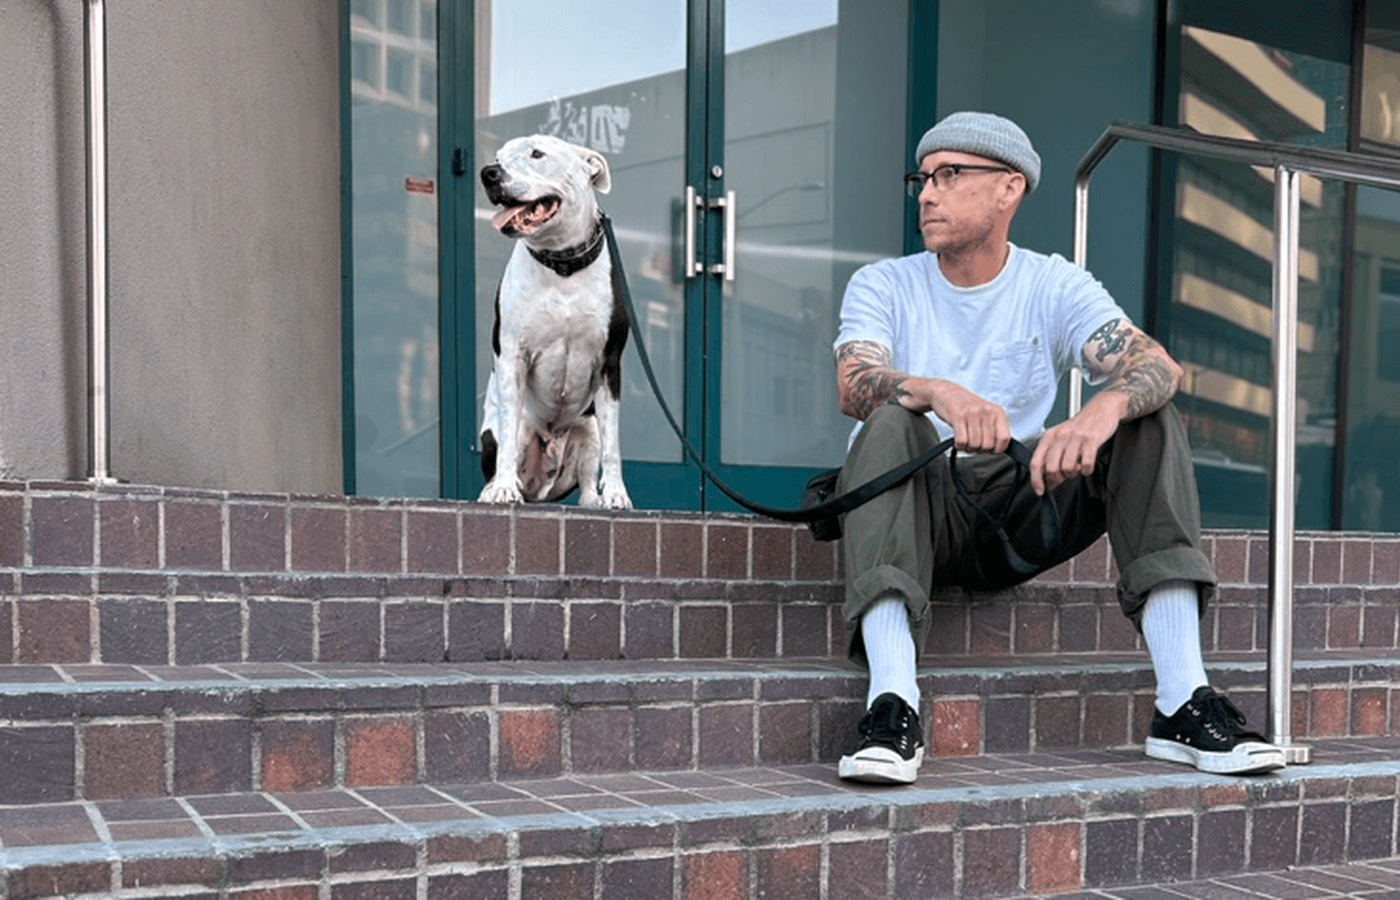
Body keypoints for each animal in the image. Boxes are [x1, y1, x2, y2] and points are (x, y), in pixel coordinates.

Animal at [481, 136, 635, 509]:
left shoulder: (610, 363)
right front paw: (502, 488)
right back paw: (496, 488)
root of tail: (541, 486)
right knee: (506, 446)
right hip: (505, 431)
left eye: (537, 153)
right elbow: (508, 434)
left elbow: (613, 445)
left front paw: (616, 494)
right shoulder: (512, 355)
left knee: (589, 468)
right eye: (498, 157)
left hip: (587, 428)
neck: (562, 263)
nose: (488, 173)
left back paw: (593, 499)